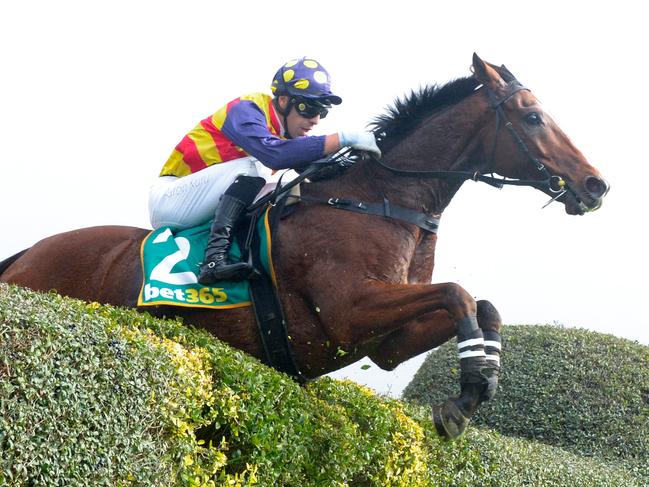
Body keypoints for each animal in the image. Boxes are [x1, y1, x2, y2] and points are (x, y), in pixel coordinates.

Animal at [0, 55, 608, 440]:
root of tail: (24, 254)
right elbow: (458, 292)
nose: (595, 184)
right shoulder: (350, 310)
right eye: (533, 116)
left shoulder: (383, 342)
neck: (380, 199)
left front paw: (481, 380)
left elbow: (483, 305)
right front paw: (465, 396)